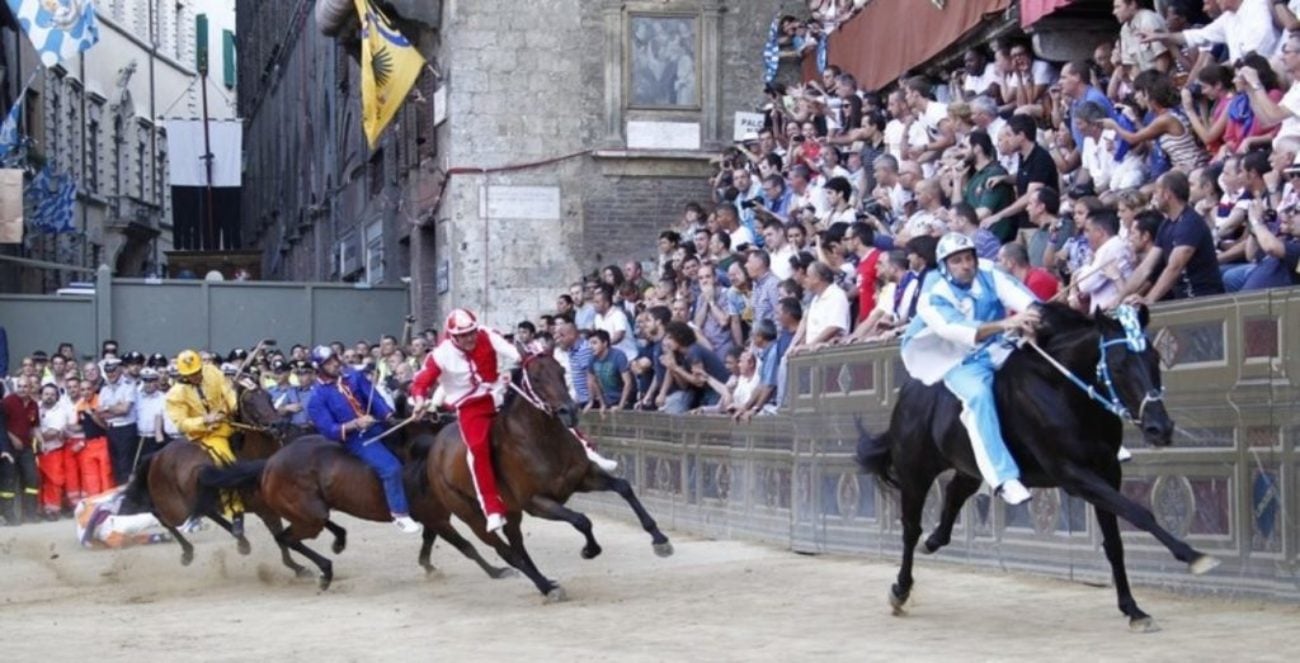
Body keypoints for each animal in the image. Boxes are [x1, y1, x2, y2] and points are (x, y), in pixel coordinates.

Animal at [122, 384, 314, 577]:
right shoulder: (266, 511)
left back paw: (241, 541)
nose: (278, 425)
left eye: (268, 397)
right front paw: (298, 567)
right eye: (249, 403)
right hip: (174, 508)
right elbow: (282, 538)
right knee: (162, 518)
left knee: (209, 513)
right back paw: (187, 552)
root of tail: (156, 456)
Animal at [413, 353, 676, 603]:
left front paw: (660, 540)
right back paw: (546, 587)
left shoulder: (581, 478)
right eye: (536, 378)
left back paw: (546, 582)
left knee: (517, 546)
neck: (540, 439)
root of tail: (435, 448)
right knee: (506, 551)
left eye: (561, 370)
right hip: (469, 514)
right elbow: (581, 520)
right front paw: (589, 550)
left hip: (511, 511)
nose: (568, 411)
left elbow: (623, 487)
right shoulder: (536, 502)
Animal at [857, 302, 1211, 629]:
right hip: (915, 471)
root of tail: (909, 393)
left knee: (955, 492)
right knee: (910, 529)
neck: (1063, 391)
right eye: (1120, 364)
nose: (1160, 428)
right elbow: (1139, 513)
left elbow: (1114, 543)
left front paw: (1133, 609)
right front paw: (1194, 556)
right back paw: (901, 589)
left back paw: (934, 541)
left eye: (1155, 358)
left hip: (970, 467)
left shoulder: (1108, 470)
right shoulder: (1074, 475)